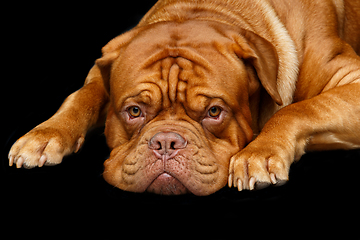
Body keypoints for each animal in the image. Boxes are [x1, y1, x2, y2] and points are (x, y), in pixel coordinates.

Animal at [7, 0, 360, 195]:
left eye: (214, 112)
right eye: (134, 111)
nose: (166, 142)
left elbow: (296, 110)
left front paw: (258, 153)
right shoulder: (101, 66)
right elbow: (83, 94)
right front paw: (45, 134)